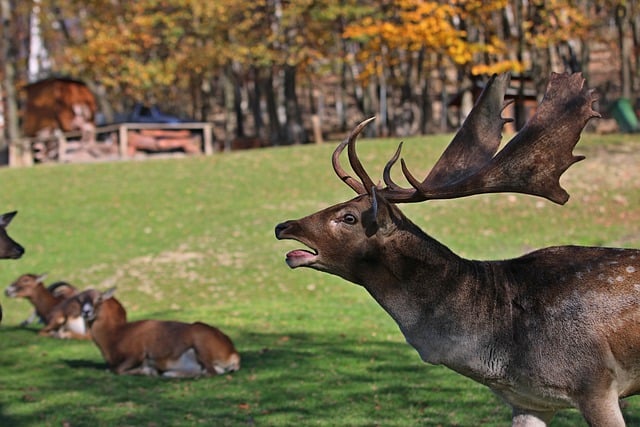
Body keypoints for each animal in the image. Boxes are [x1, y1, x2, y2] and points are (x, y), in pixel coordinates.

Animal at [79, 288, 241, 378]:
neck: (117, 334)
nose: (86, 312)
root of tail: (232, 353)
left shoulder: (136, 355)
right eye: (81, 300)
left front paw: (148, 372)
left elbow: (116, 370)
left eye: (99, 299)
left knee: (210, 373)